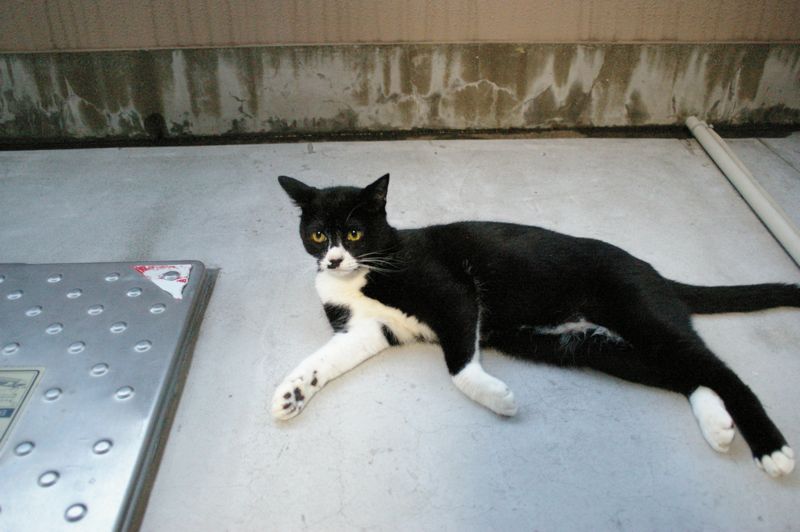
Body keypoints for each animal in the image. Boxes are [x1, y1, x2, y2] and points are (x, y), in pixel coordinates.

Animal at [273, 173, 799, 478]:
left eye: (354, 232)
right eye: (317, 235)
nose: (333, 259)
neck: (364, 274)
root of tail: (653, 272)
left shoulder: (455, 294)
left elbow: (459, 366)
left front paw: (498, 397)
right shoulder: (366, 330)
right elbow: (323, 360)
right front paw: (290, 393)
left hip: (641, 314)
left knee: (722, 373)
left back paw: (771, 449)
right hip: (591, 346)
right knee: (684, 373)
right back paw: (718, 426)